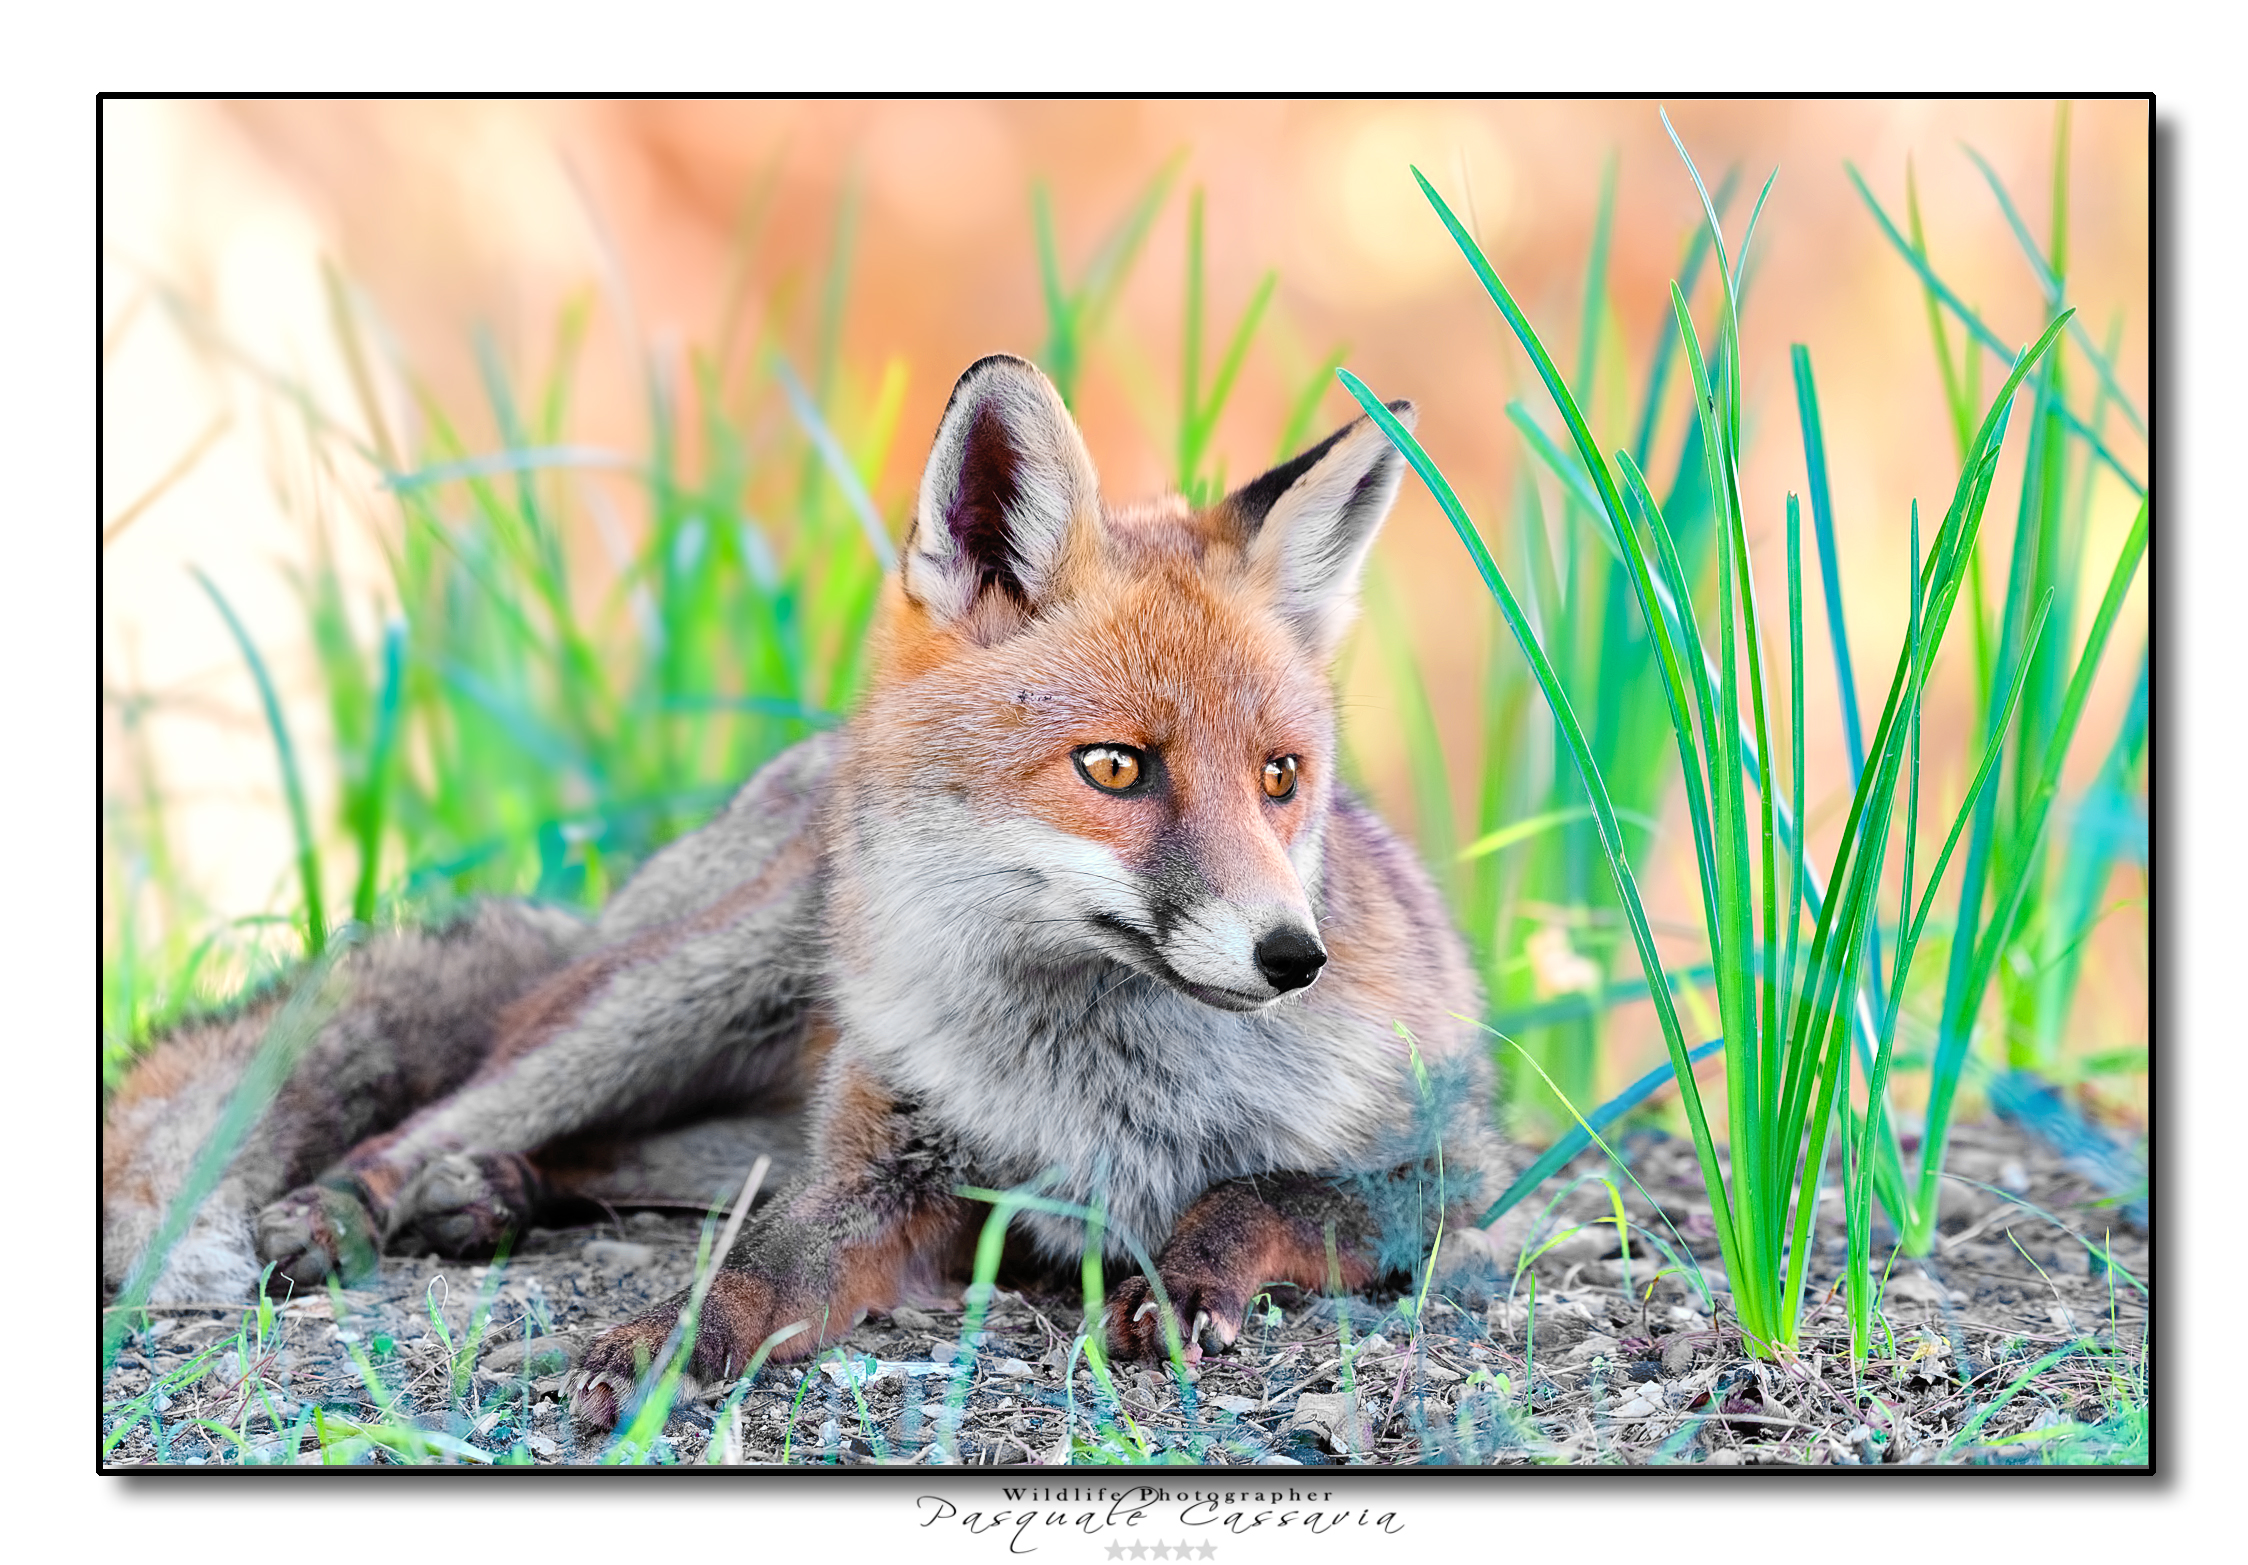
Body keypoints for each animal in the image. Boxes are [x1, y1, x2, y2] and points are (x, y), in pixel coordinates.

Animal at [100, 354, 1517, 1434]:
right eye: (1115, 766)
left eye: (1282, 777)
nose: (1293, 955)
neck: (1101, 1089)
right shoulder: (895, 1175)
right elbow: (763, 1259)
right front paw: (670, 1337)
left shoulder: (1447, 1177)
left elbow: (1258, 1195)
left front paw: (1183, 1284)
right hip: (686, 989)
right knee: (449, 1111)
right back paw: (372, 1199)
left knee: (637, 1160)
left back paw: (496, 1192)